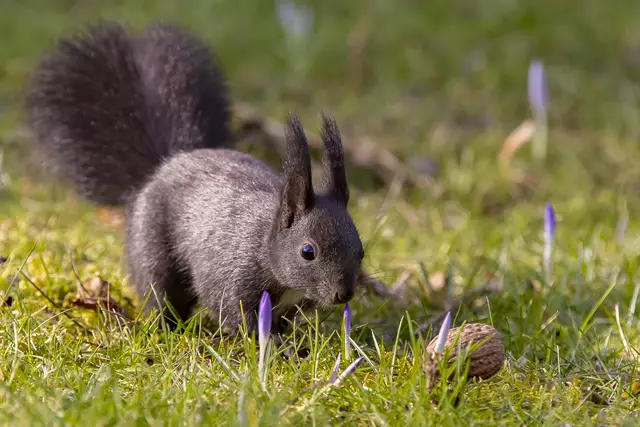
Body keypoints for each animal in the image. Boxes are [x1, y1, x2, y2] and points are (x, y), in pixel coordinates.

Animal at [25, 21, 365, 337]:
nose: (343, 294)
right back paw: (163, 328)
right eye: (308, 252)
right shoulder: (232, 277)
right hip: (152, 250)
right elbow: (236, 314)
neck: (265, 242)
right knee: (159, 293)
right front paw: (273, 346)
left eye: (361, 250)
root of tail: (165, 165)